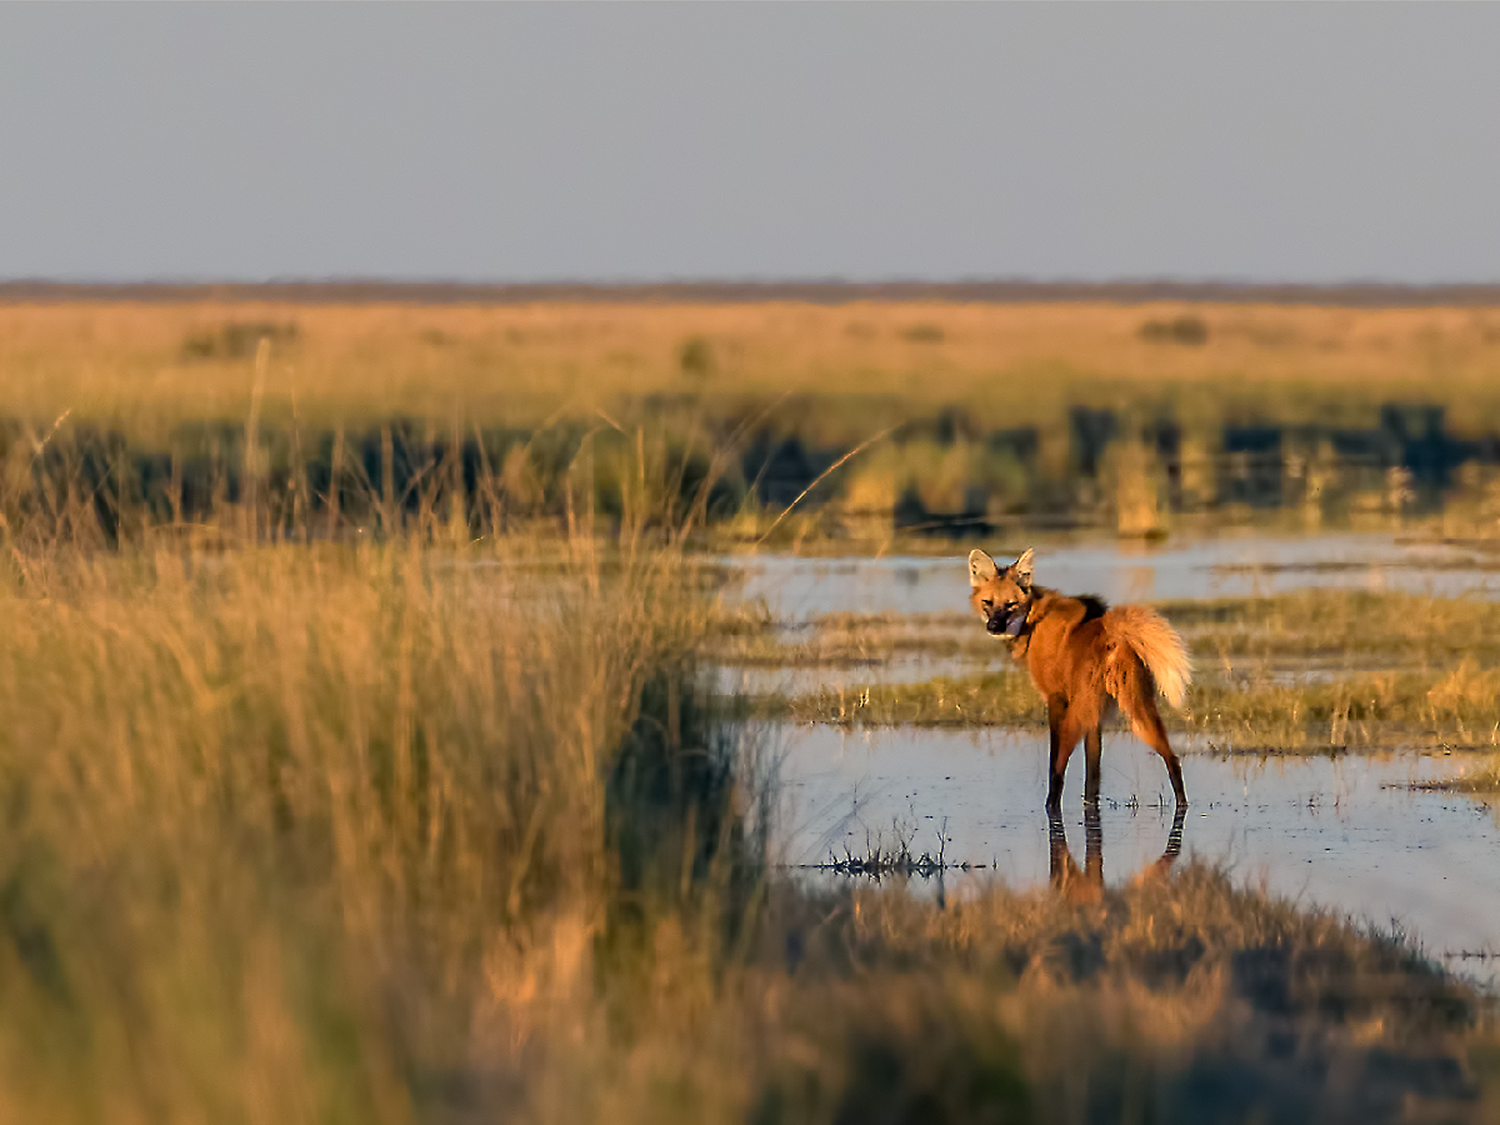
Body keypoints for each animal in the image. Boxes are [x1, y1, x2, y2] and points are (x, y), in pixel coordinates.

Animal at [972, 549, 1194, 804]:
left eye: (1010, 604)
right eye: (988, 603)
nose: (994, 626)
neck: (1033, 620)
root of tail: (1114, 631)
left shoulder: (1056, 698)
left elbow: (1055, 764)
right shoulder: (1094, 717)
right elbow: (1093, 772)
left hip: (1080, 714)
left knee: (1059, 769)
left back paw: (1051, 804)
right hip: (1138, 709)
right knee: (1172, 759)